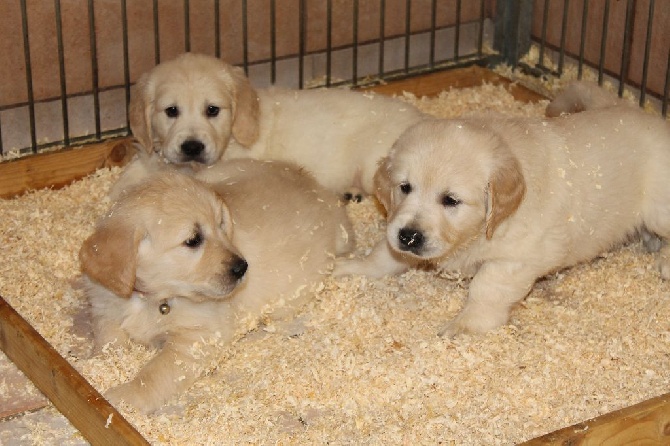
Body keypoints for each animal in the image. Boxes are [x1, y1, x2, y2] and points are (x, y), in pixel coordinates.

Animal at [79, 159, 354, 412]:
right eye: (193, 240)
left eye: (222, 224)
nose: (242, 268)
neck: (151, 297)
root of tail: (317, 186)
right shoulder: (104, 308)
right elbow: (108, 342)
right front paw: (98, 364)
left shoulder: (197, 338)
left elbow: (156, 373)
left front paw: (127, 396)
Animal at [334, 83, 670, 336]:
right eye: (404, 187)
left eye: (451, 200)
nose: (409, 236)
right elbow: (384, 255)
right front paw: (354, 268)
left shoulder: (516, 259)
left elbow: (486, 288)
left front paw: (467, 325)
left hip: (659, 210)